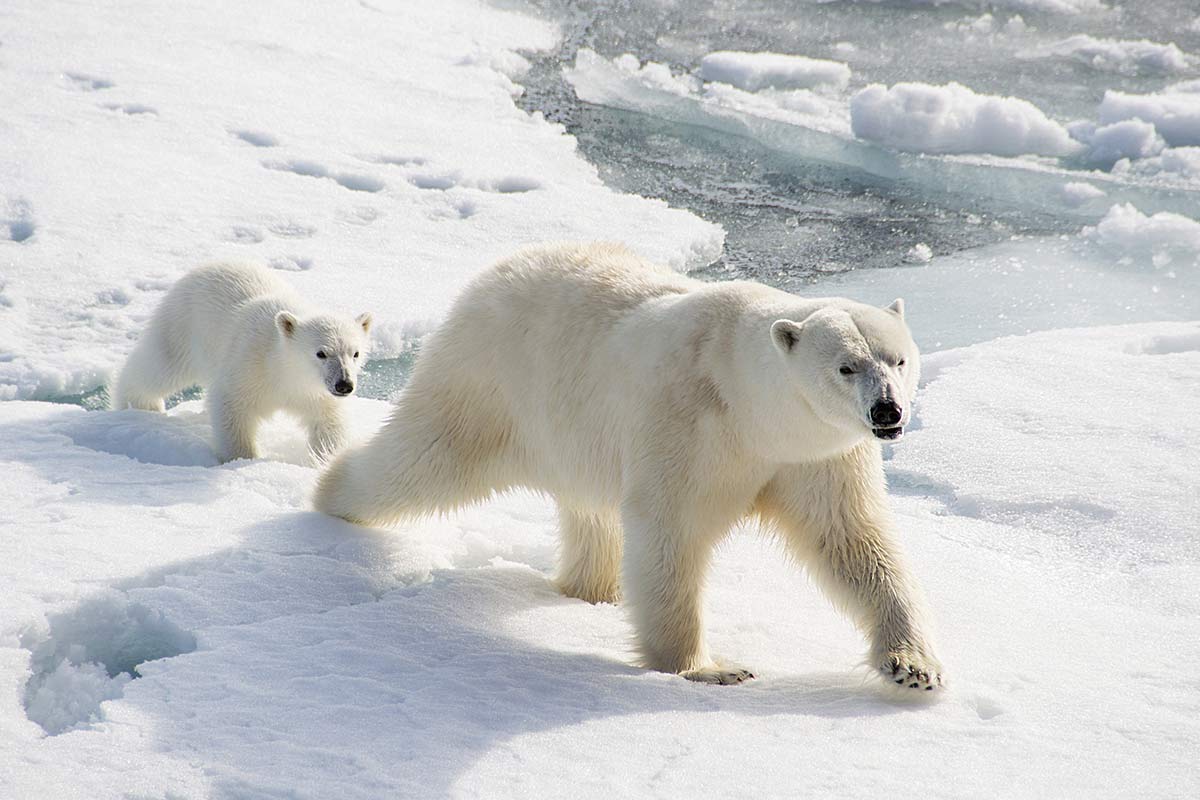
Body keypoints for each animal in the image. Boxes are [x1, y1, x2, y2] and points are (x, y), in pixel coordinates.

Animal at [319, 242, 945, 690]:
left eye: (898, 359)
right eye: (846, 366)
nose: (887, 411)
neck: (747, 403)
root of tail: (496, 269)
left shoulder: (817, 454)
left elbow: (853, 540)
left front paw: (915, 666)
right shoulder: (687, 423)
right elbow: (670, 529)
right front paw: (706, 667)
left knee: (590, 514)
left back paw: (593, 590)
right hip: (489, 381)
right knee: (421, 460)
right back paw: (329, 492)